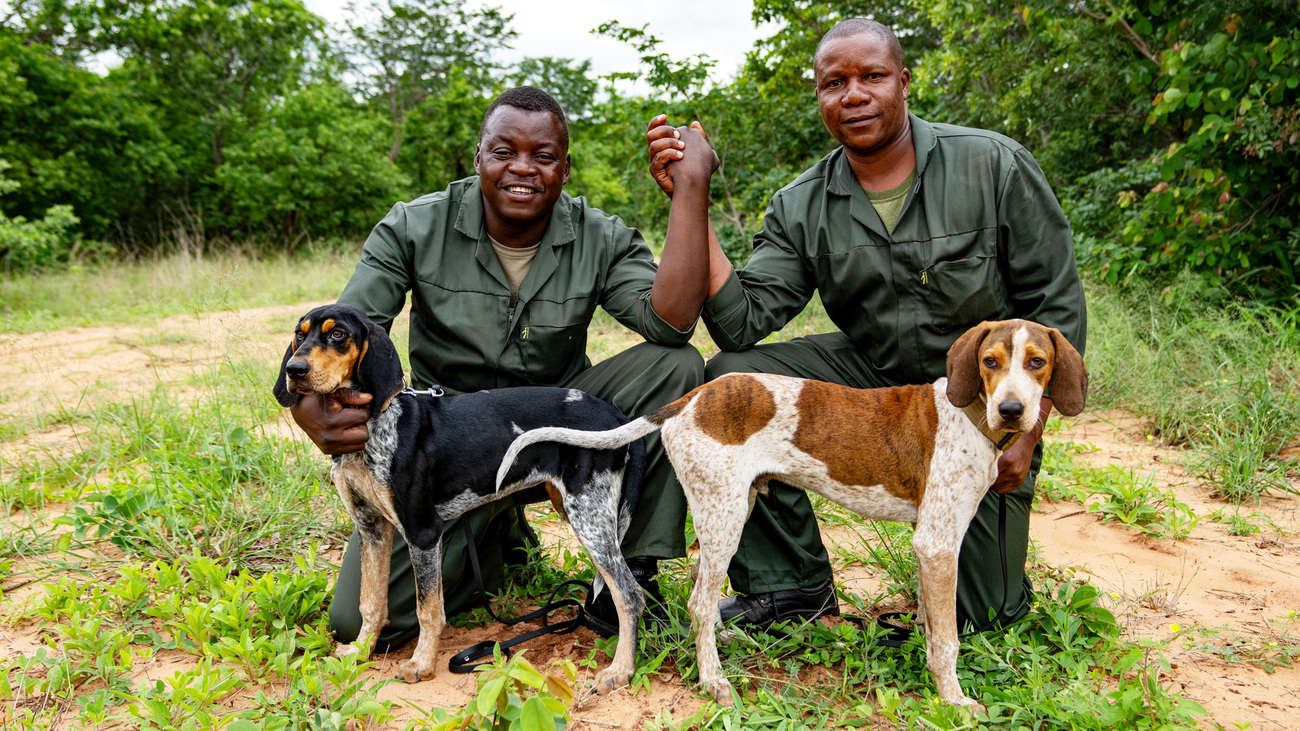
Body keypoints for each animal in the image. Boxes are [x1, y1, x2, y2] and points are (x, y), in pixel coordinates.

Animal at [271, 301, 647, 686]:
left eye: (337, 334)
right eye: (300, 334)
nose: (294, 370)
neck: (374, 429)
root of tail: (616, 416)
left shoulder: (423, 532)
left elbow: (427, 608)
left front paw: (421, 663)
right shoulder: (371, 528)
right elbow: (371, 601)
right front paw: (361, 651)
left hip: (589, 517)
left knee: (630, 594)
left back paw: (621, 669)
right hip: (576, 508)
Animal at [496, 318, 1086, 707]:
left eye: (1037, 363)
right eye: (990, 363)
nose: (1013, 410)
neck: (972, 416)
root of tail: (692, 399)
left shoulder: (928, 544)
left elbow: (928, 620)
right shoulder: (939, 544)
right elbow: (947, 640)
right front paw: (954, 701)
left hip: (730, 508)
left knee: (701, 593)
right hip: (725, 514)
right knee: (696, 601)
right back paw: (713, 680)